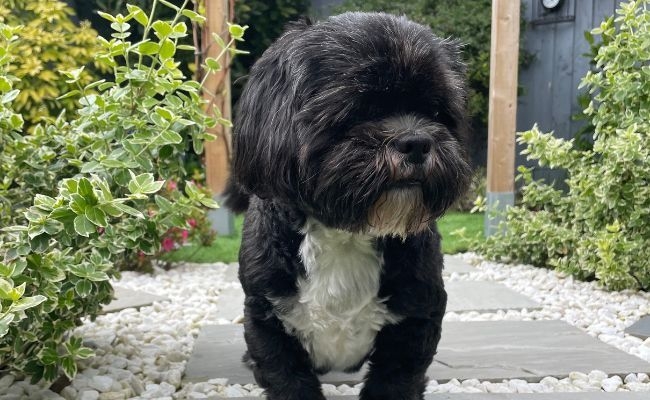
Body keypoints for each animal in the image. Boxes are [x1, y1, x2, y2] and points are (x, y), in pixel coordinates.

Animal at [225, 11, 468, 400]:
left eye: (435, 110)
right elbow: (287, 379)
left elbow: (396, 379)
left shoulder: (417, 318)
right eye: (359, 107)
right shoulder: (267, 318)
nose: (416, 141)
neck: (346, 234)